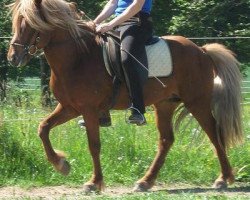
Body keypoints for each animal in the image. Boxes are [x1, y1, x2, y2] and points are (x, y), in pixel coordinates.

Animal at [7, 0, 242, 193]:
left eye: (28, 23)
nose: (13, 57)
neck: (78, 57)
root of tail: (201, 50)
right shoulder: (69, 107)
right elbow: (43, 128)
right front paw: (62, 165)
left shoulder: (88, 110)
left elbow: (94, 145)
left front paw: (94, 183)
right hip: (165, 104)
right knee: (166, 140)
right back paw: (145, 182)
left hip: (197, 102)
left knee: (214, 133)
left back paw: (223, 178)